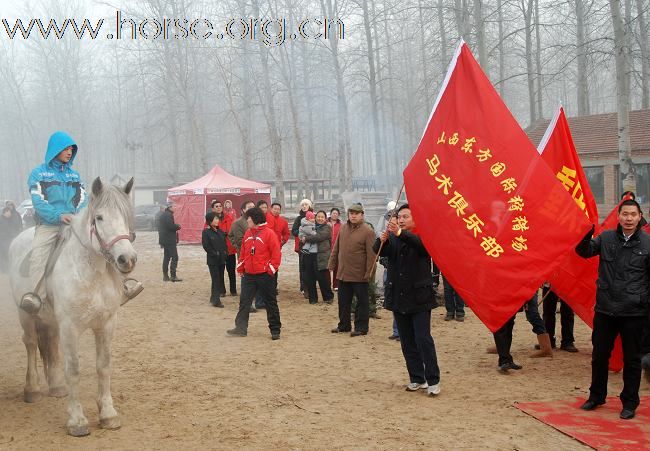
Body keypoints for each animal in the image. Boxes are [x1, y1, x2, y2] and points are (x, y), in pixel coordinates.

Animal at [8, 177, 138, 438]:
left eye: (126, 215)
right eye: (99, 217)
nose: (126, 259)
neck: (91, 272)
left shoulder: (106, 324)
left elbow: (103, 366)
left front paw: (108, 414)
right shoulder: (70, 327)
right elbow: (74, 369)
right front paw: (77, 421)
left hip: (50, 321)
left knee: (49, 343)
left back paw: (57, 387)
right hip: (25, 314)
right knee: (30, 344)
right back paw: (32, 389)